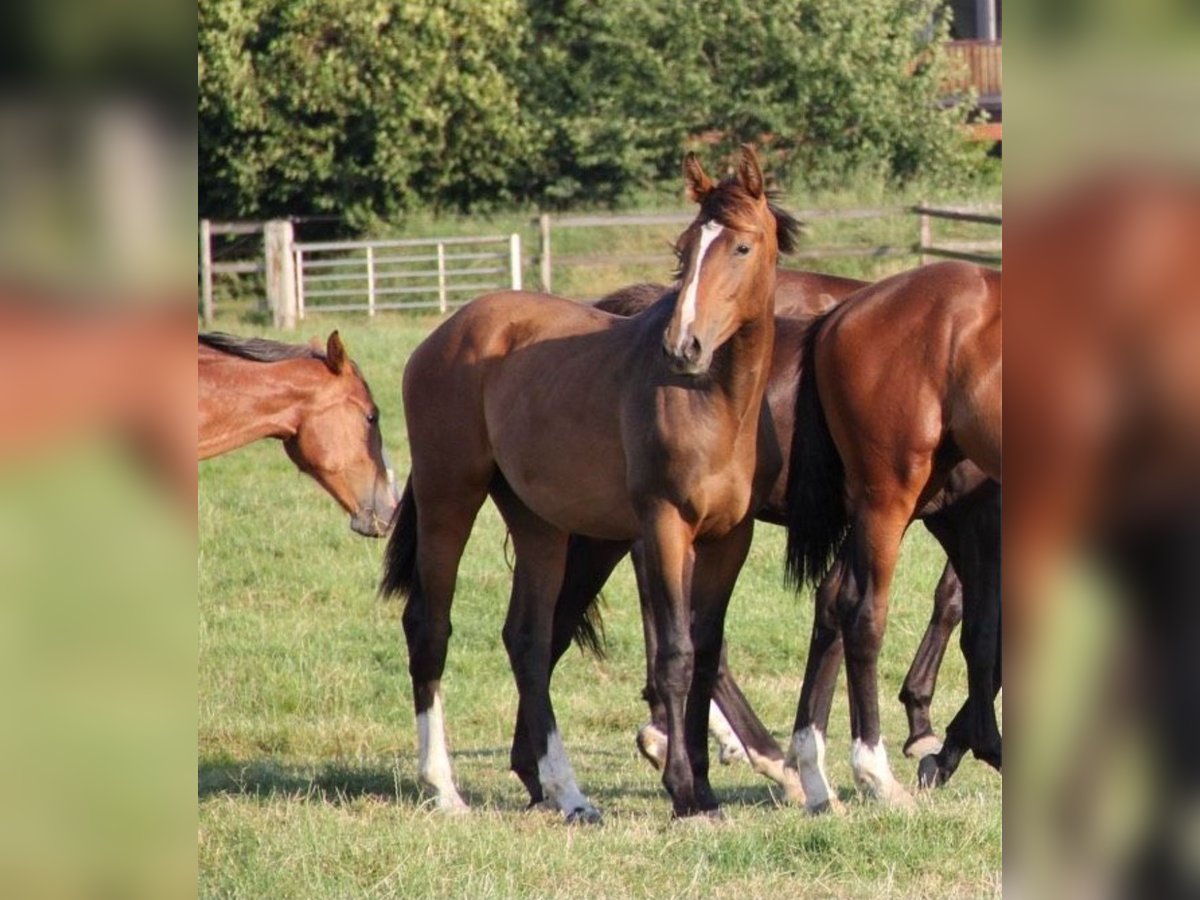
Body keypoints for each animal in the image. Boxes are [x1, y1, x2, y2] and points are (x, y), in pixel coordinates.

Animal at [381, 144, 796, 820]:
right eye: (686, 246)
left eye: (741, 246)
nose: (684, 346)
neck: (714, 402)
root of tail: (446, 332)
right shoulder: (662, 527)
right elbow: (675, 655)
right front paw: (687, 793)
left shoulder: (730, 539)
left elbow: (706, 653)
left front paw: (704, 787)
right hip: (450, 497)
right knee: (429, 627)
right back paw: (444, 787)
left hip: (539, 524)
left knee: (527, 638)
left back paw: (567, 792)